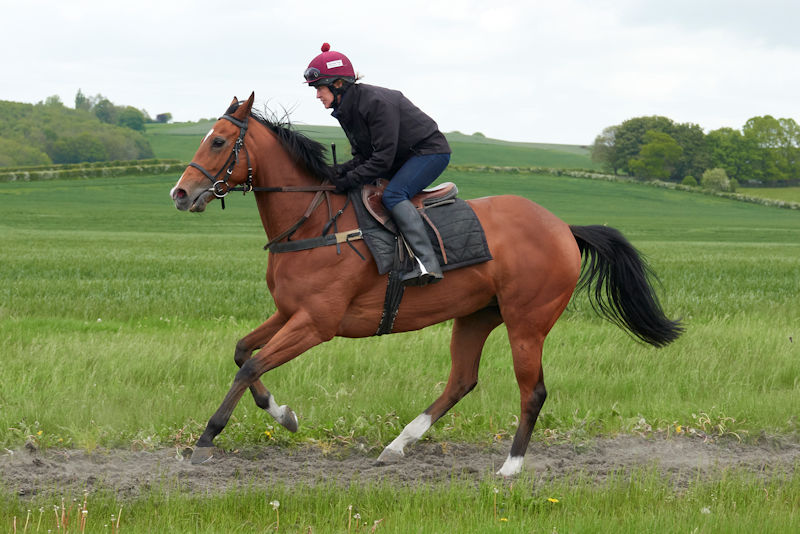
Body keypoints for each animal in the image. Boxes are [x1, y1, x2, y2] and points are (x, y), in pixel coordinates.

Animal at [169, 93, 682, 476]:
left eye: (218, 141)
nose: (179, 193)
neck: (314, 222)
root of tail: (563, 228)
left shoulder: (317, 323)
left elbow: (250, 367)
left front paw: (207, 439)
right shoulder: (289, 312)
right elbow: (242, 352)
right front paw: (284, 414)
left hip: (528, 321)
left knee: (532, 391)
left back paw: (511, 467)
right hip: (477, 315)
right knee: (461, 380)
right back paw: (398, 444)